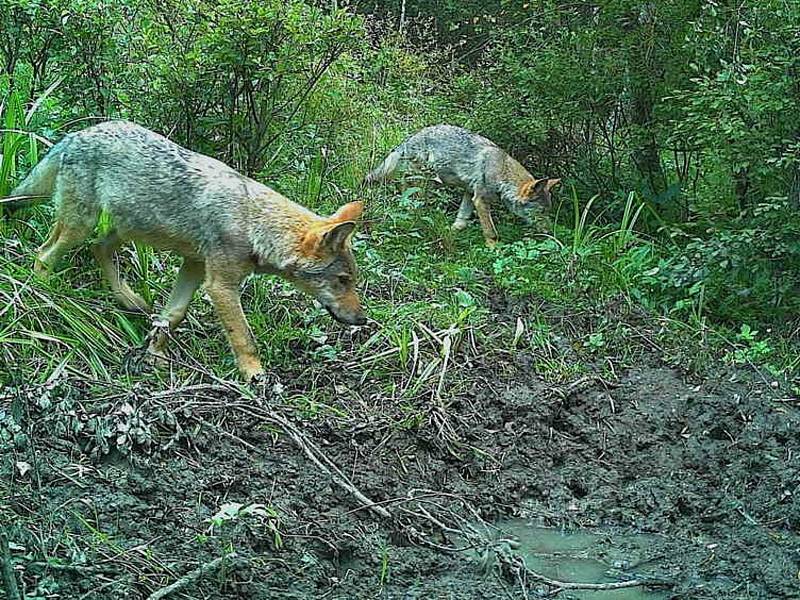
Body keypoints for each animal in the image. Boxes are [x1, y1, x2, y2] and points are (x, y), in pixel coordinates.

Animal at [6, 120, 368, 380]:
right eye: (343, 281)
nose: (363, 320)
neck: (253, 222)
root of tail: (76, 134)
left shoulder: (194, 266)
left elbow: (173, 315)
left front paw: (155, 357)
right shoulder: (220, 286)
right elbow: (244, 337)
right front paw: (257, 378)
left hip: (122, 229)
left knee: (98, 249)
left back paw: (128, 299)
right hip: (81, 225)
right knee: (43, 255)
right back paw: (44, 298)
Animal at [364, 124, 560, 246]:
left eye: (548, 212)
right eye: (541, 212)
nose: (550, 232)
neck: (502, 172)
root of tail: (409, 139)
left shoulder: (469, 194)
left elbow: (462, 220)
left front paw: (451, 231)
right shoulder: (480, 200)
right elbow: (491, 232)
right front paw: (495, 250)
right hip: (422, 179)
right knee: (407, 191)